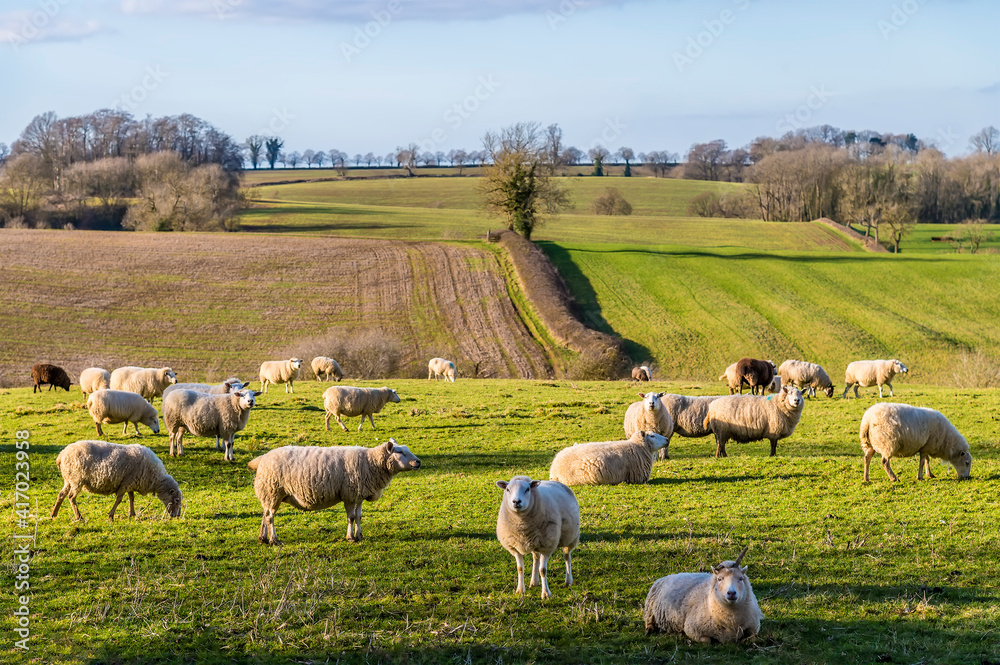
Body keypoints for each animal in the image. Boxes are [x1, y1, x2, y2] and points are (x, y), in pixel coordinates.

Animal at [50, 440, 182, 522]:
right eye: (176, 500)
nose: (177, 516)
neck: (155, 478)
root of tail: (62, 454)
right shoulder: (125, 483)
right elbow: (119, 500)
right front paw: (111, 516)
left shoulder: (131, 482)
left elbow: (131, 498)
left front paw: (132, 513)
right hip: (77, 479)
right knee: (71, 497)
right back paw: (79, 517)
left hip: (68, 479)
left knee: (61, 494)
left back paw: (53, 514)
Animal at [248, 438, 421, 545]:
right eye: (400, 452)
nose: (418, 462)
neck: (370, 462)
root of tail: (261, 459)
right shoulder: (350, 495)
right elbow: (351, 517)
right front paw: (350, 537)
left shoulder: (359, 495)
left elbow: (359, 516)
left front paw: (360, 535)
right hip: (273, 491)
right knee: (270, 517)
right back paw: (274, 540)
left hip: (269, 494)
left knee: (265, 514)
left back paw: (263, 538)